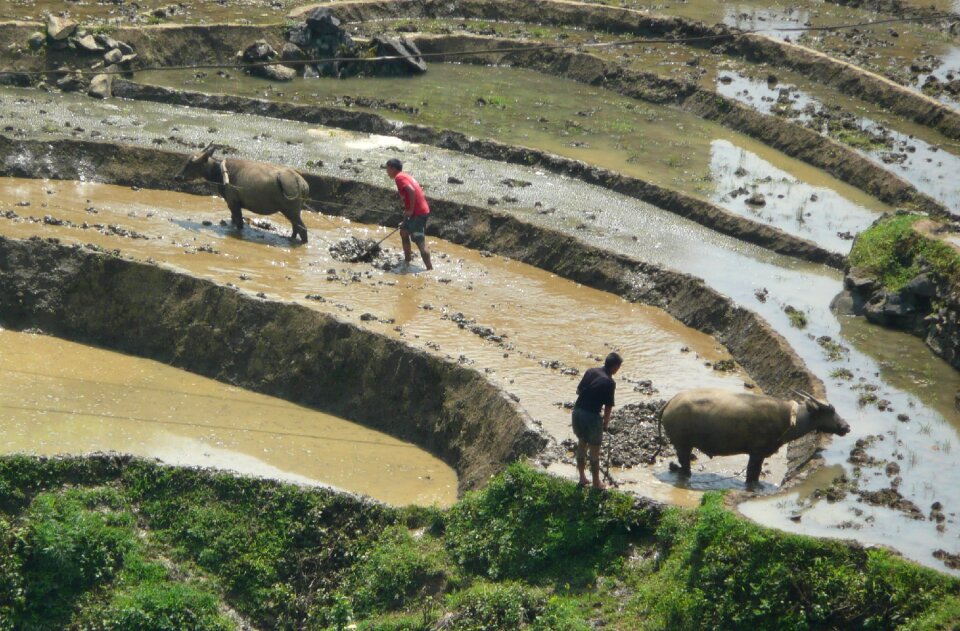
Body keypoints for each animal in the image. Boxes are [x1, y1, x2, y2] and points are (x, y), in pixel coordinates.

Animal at [173, 145, 308, 242]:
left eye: (190, 164)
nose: (177, 177)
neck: (220, 172)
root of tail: (302, 183)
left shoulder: (233, 203)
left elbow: (239, 223)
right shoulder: (232, 204)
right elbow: (233, 219)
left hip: (291, 210)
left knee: (303, 229)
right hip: (292, 212)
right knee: (296, 227)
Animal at [660, 388, 848, 486]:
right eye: (831, 411)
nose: (846, 426)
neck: (788, 418)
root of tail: (670, 402)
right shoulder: (757, 453)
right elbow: (753, 475)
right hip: (682, 445)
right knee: (685, 466)